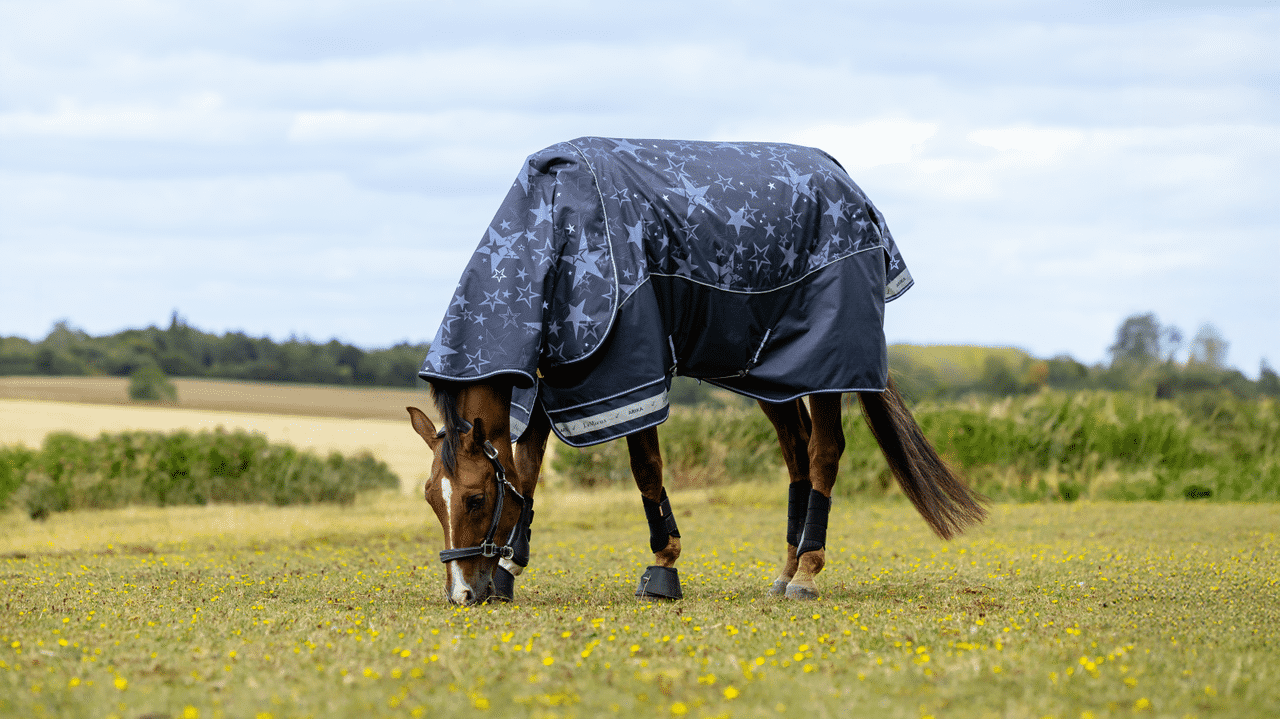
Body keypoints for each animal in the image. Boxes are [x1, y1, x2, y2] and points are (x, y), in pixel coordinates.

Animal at [408, 137, 987, 605]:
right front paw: (509, 569)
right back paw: (785, 571)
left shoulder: (627, 370)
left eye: (475, 498)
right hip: (773, 376)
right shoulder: (552, 375)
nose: (462, 594)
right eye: (432, 497)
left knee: (824, 452)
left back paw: (807, 573)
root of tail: (853, 190)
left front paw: (663, 566)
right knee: (797, 453)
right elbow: (526, 472)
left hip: (827, 365)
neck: (556, 232)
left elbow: (645, 468)